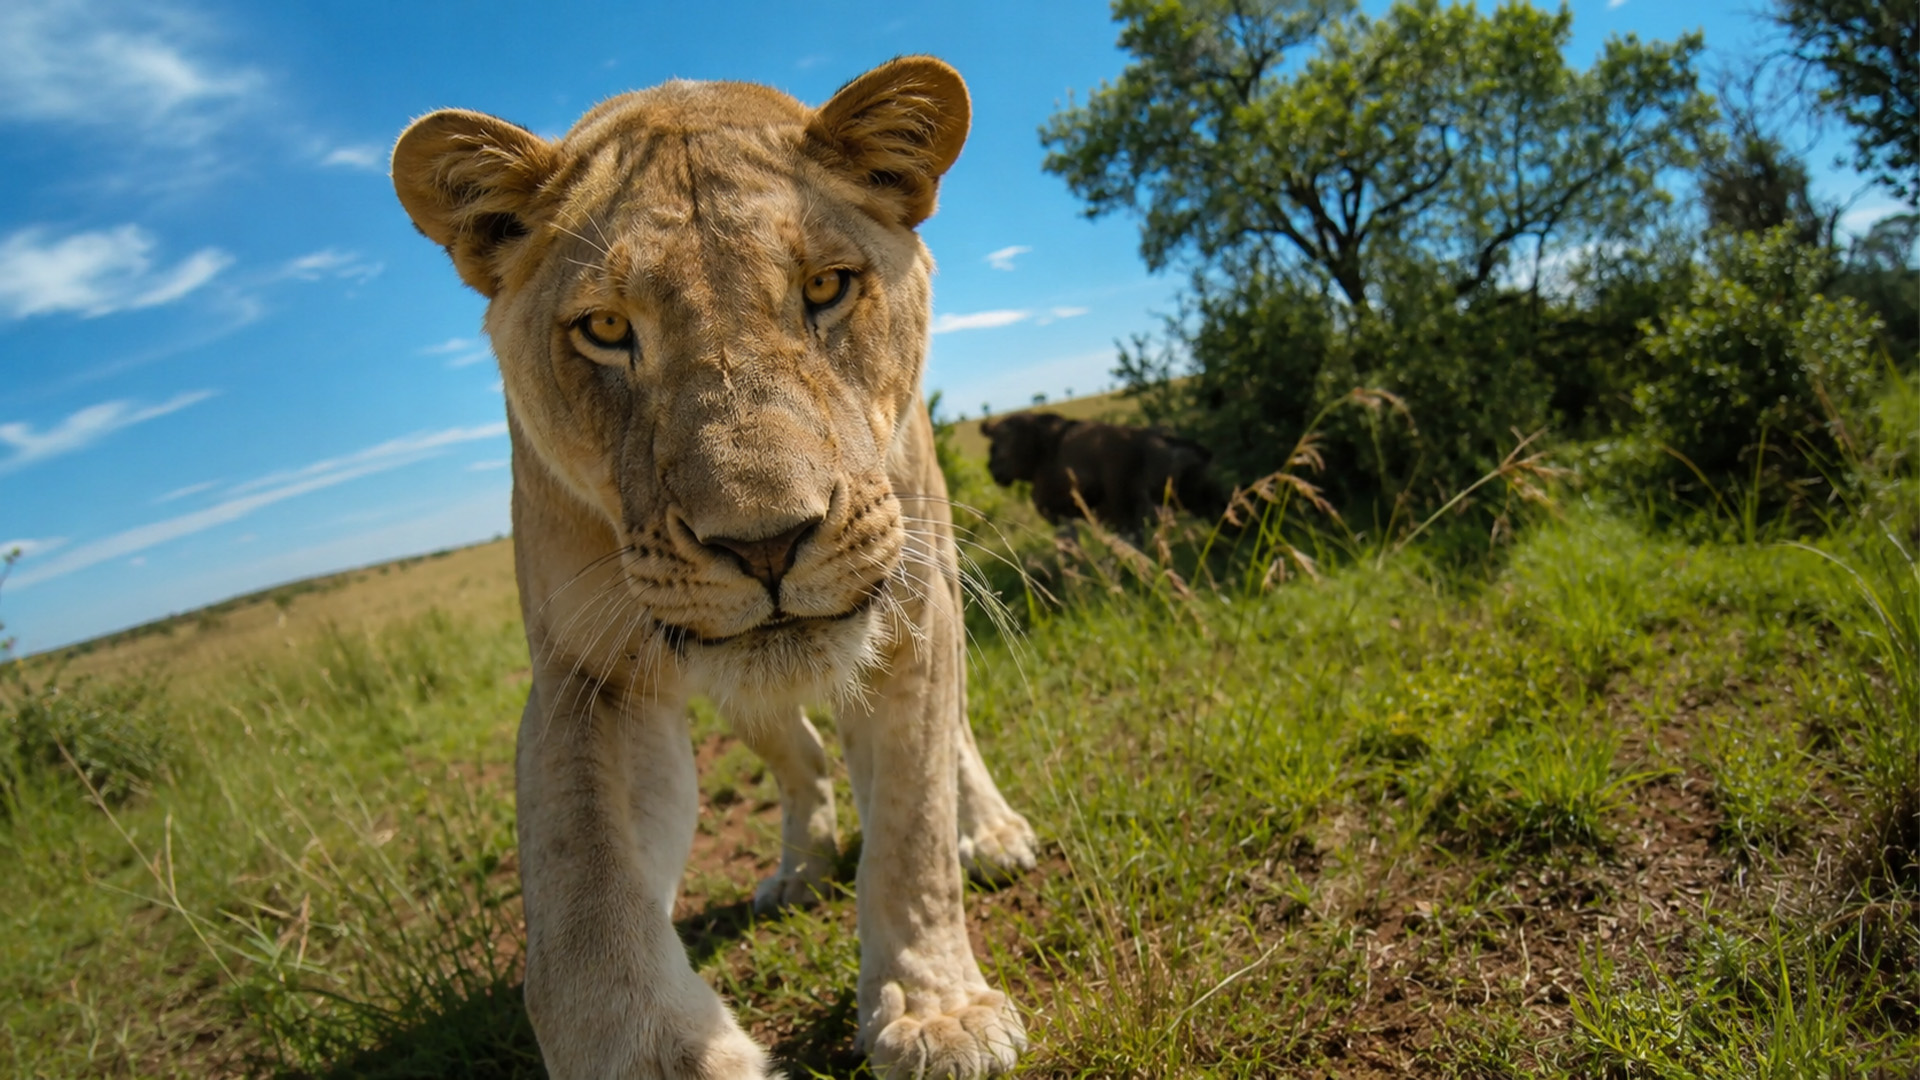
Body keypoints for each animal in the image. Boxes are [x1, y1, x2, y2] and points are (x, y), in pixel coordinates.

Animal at [391, 57, 1036, 1079]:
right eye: (606, 327)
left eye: (826, 286)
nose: (764, 541)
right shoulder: (589, 675)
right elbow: (581, 901)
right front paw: (663, 1054)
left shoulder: (909, 613)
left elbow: (913, 824)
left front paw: (938, 1013)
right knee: (795, 751)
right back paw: (802, 864)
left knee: (952, 732)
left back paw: (992, 830)